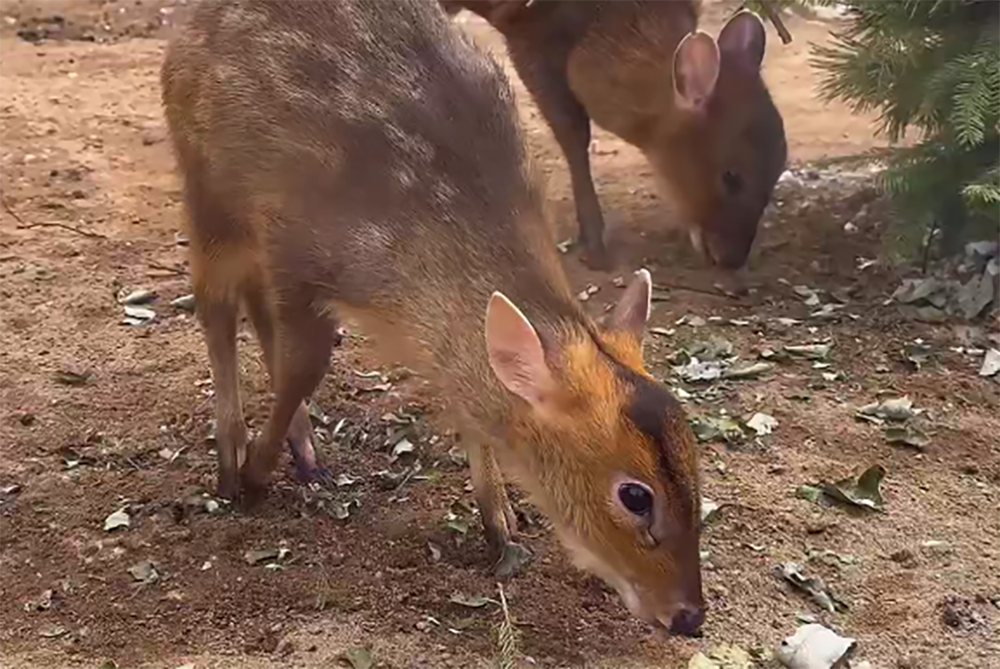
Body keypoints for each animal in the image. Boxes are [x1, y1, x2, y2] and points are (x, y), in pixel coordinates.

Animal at [164, 0, 704, 636]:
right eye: (635, 495)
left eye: (698, 467)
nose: (689, 615)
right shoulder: (297, 250)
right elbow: (302, 365)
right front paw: (251, 478)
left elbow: (464, 396)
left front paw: (501, 526)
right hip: (205, 180)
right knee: (216, 307)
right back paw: (233, 461)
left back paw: (304, 456)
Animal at [442, 0, 784, 272]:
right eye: (731, 176)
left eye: (779, 170)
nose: (732, 260)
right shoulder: (527, 34)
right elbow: (573, 133)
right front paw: (595, 247)